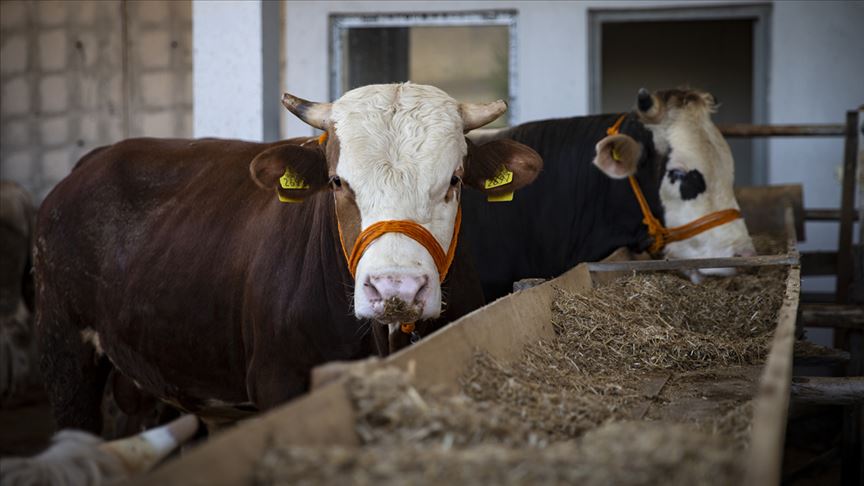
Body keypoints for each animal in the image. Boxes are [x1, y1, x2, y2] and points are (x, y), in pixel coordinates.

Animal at [37, 83, 544, 432]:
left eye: (454, 179)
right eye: (338, 182)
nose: (395, 288)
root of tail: (94, 160)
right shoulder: (277, 380)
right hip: (65, 358)